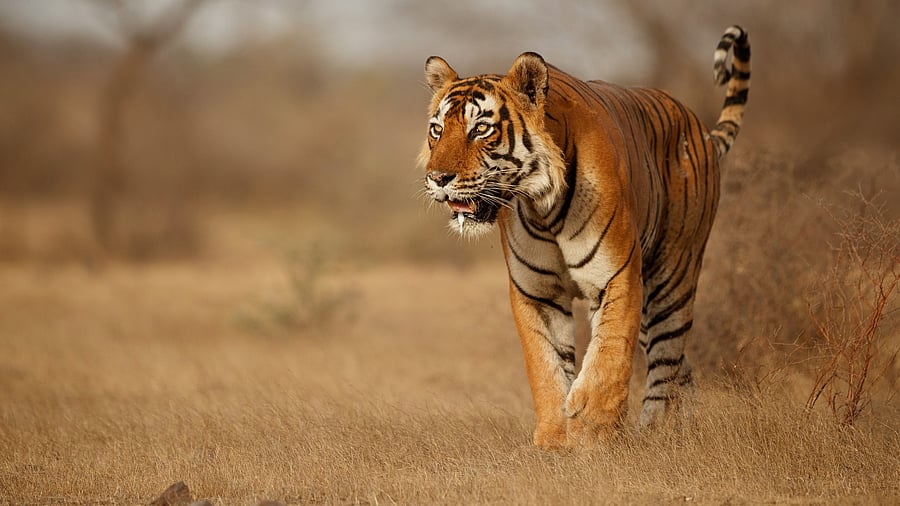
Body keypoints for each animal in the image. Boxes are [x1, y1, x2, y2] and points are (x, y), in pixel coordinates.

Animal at [419, 26, 751, 448]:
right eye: (437, 129)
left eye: (481, 129)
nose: (437, 178)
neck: (542, 206)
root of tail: (701, 129)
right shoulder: (537, 292)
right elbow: (545, 367)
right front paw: (554, 439)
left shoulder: (617, 276)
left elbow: (608, 357)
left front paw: (592, 431)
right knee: (680, 367)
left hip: (672, 277)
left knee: (666, 359)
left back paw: (656, 430)